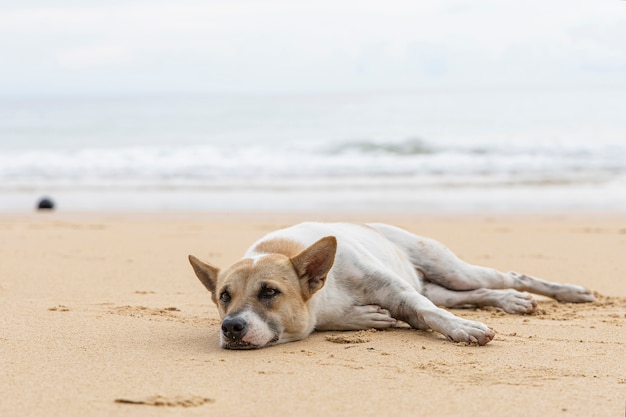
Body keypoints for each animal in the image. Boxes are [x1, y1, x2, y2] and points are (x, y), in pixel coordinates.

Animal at [188, 221, 592, 348]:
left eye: (269, 292)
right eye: (224, 297)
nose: (231, 327)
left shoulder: (398, 292)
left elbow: (431, 314)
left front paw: (464, 330)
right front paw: (366, 317)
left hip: (450, 270)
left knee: (504, 277)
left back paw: (568, 292)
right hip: (441, 286)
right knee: (476, 294)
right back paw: (510, 301)